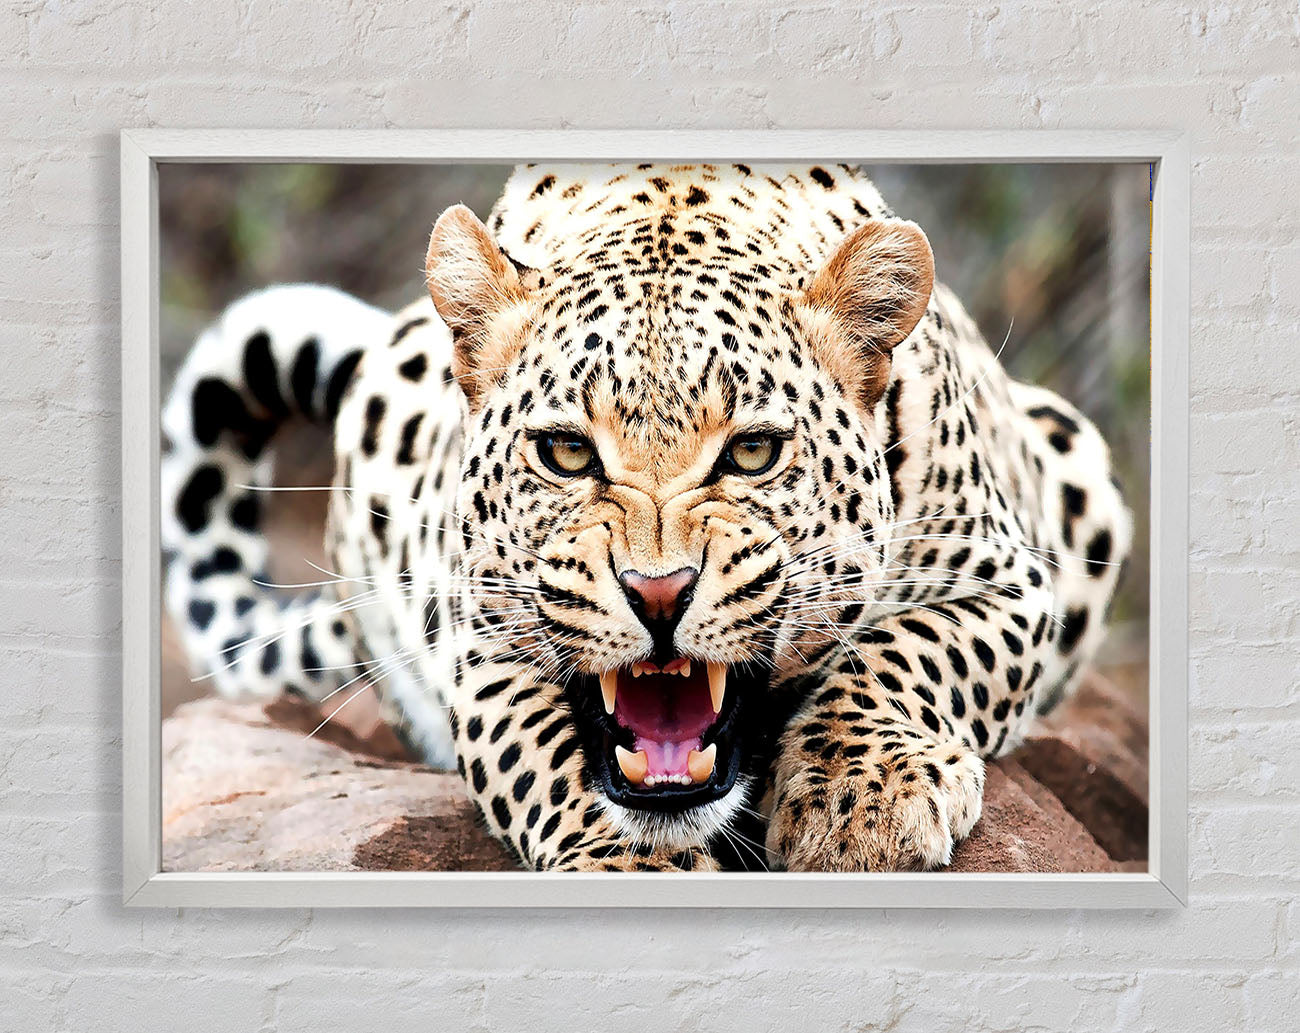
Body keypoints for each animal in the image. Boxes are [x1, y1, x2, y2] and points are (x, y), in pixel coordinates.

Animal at [161, 163, 1131, 872]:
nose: (658, 593)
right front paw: (626, 862)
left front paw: (862, 799)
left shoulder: (1010, 581)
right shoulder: (483, 644)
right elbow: (548, 758)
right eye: (565, 452)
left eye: (752, 452)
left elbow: (909, 652)